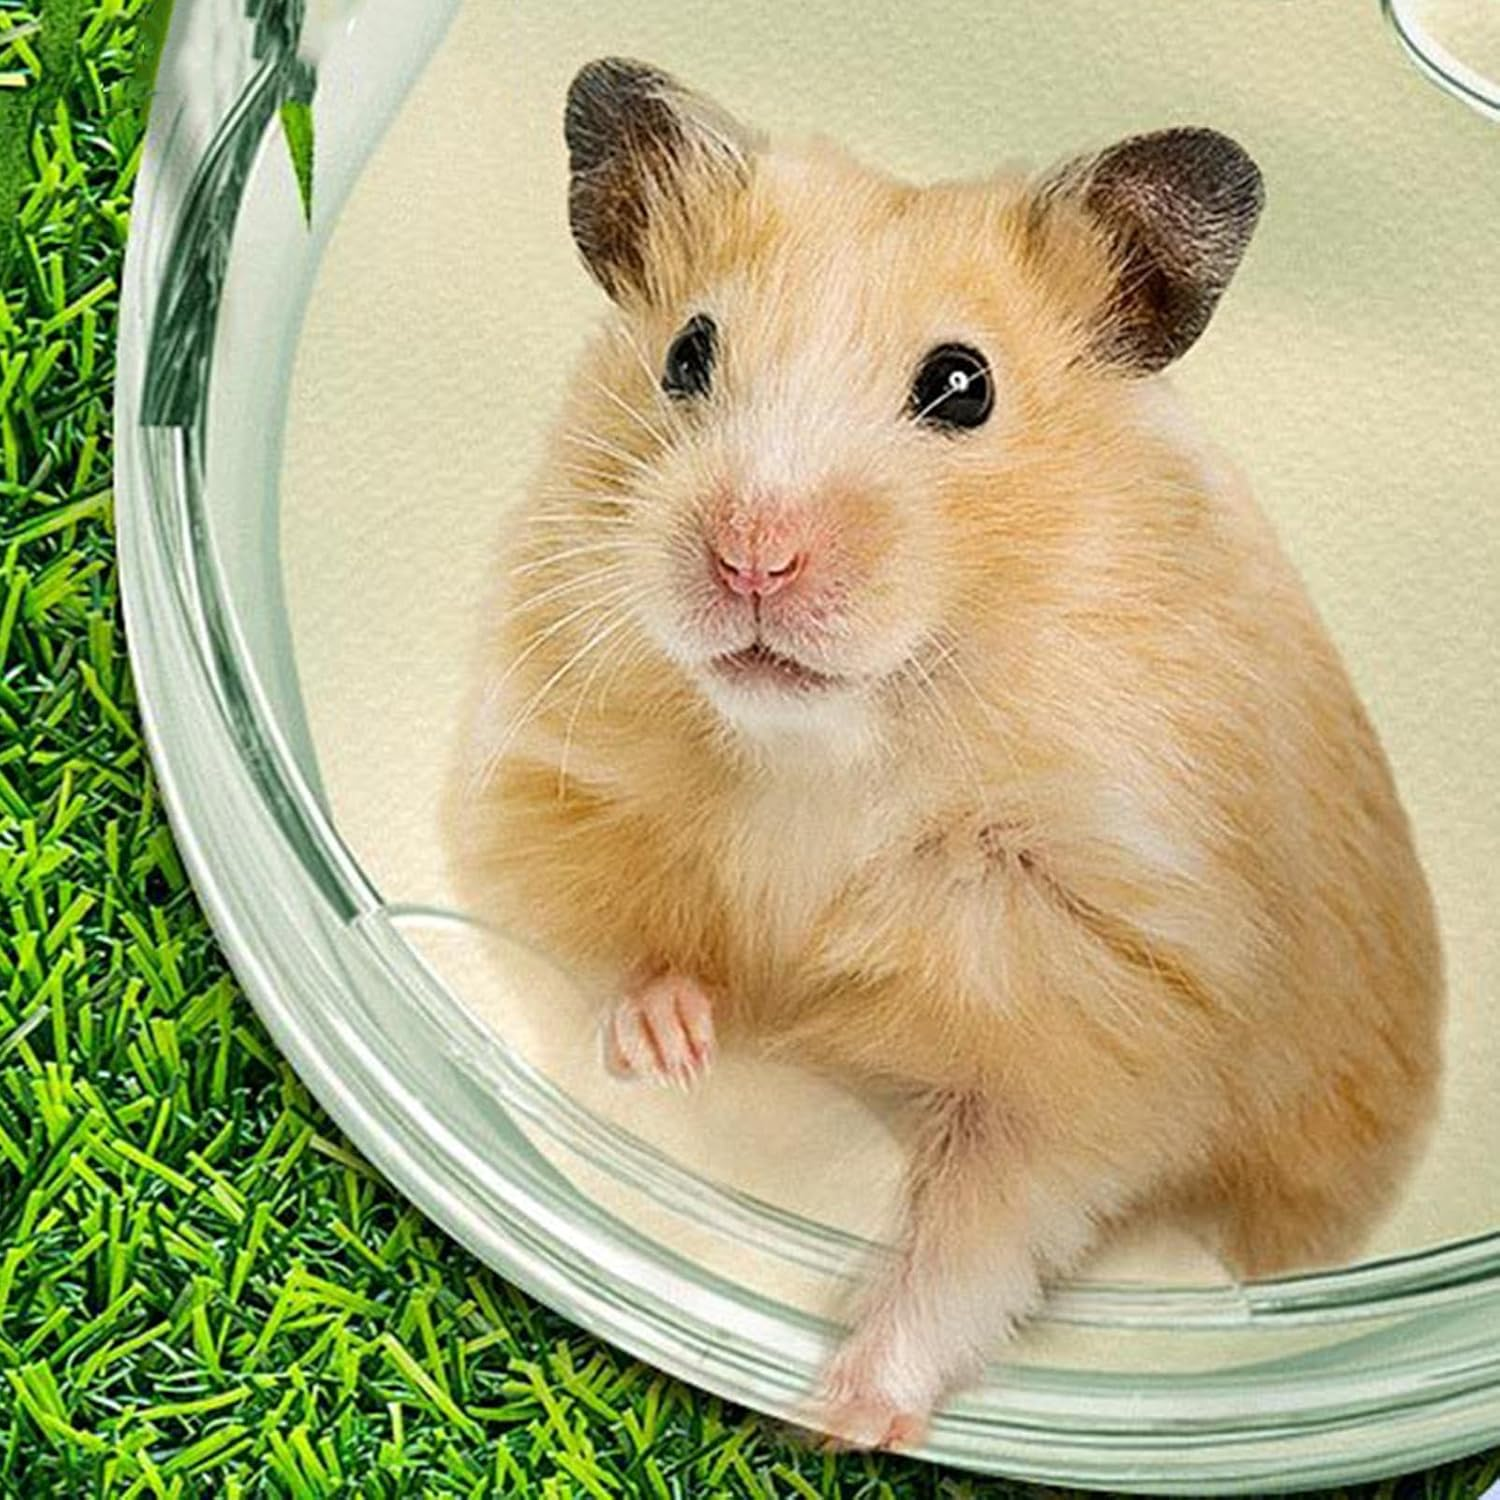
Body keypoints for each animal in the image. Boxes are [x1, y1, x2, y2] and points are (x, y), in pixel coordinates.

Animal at [447, 58, 1443, 1449]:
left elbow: (978, 1227)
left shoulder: (1105, 1011)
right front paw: (670, 1042)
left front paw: (842, 1416)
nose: (751, 558)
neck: (824, 752)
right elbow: (591, 941)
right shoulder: (537, 782)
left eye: (964, 386)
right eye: (687, 353)